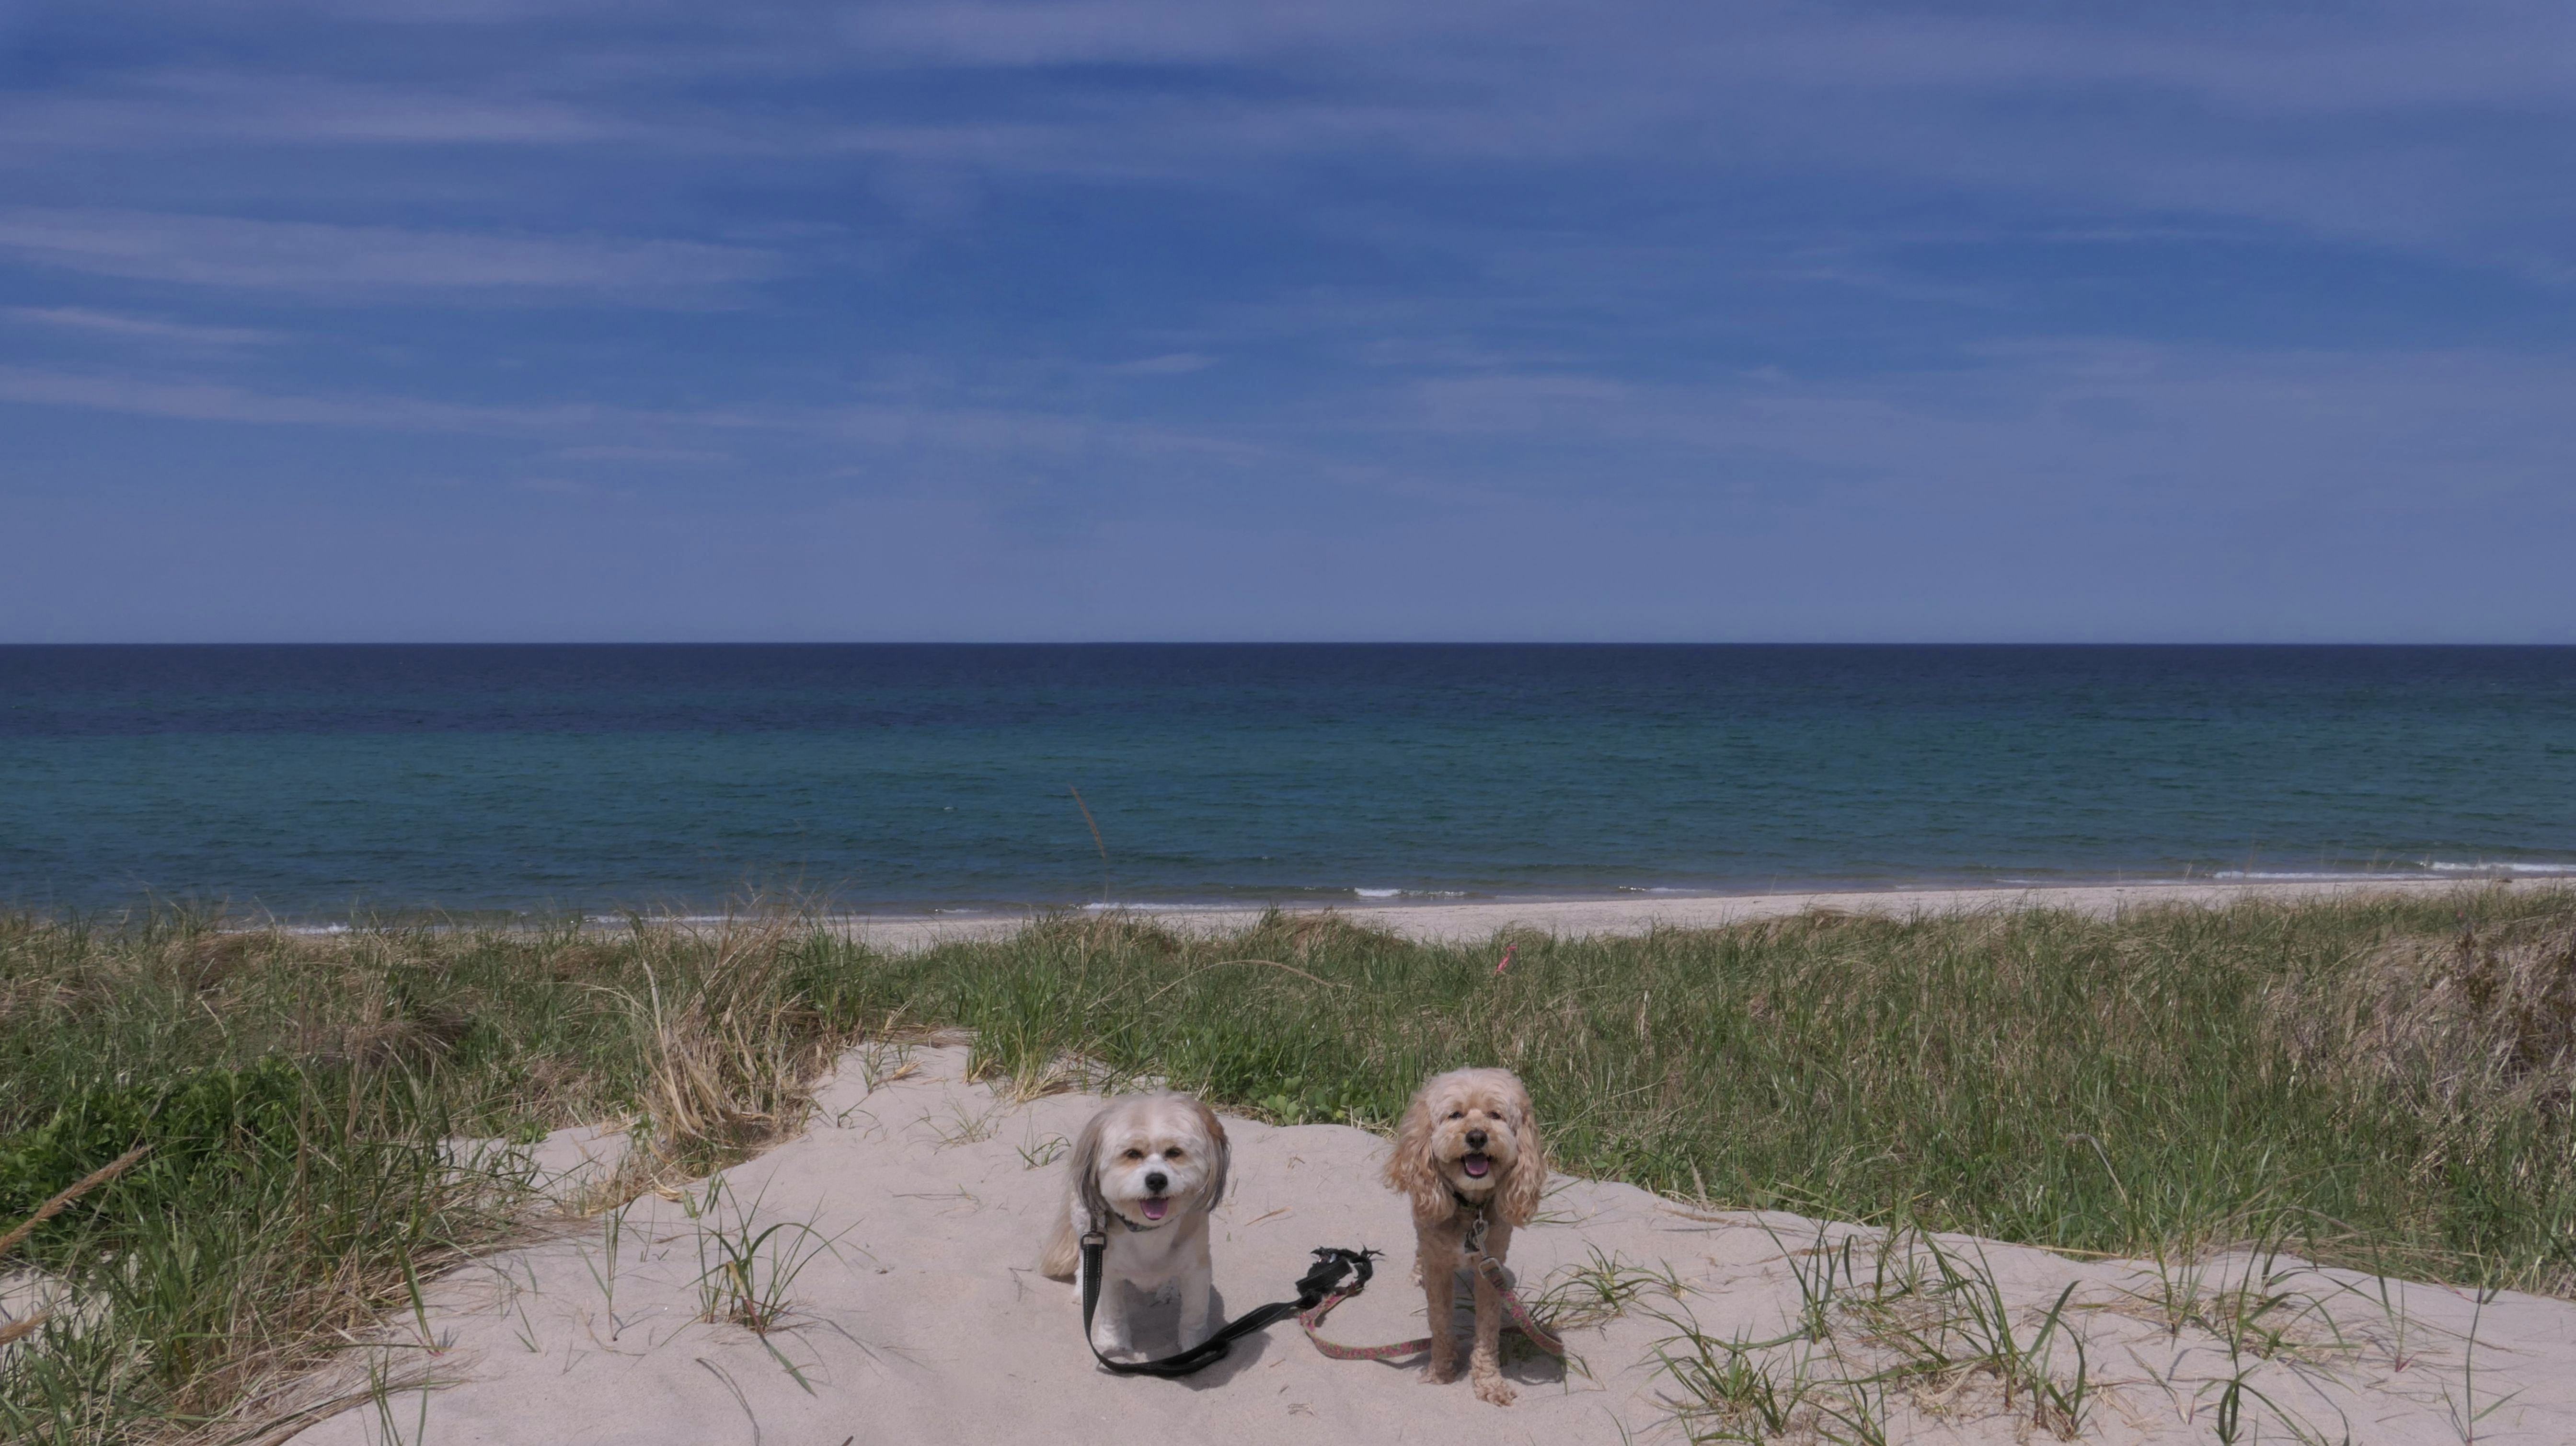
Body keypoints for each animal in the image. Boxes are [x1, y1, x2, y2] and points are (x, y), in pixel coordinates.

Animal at [1040, 1093, 1230, 1361]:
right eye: (1132, 1154)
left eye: (1175, 1152)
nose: (1157, 1179)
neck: (1148, 1231)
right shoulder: (1106, 1268)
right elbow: (1113, 1313)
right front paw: (1115, 1343)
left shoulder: (1197, 1268)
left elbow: (1194, 1314)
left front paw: (1196, 1347)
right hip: (1084, 1223)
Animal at [1384, 1067, 1546, 1405]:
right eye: (1455, 1114)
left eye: (1495, 1115)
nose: (1476, 1136)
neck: (1470, 1208)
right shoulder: (1438, 1266)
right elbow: (1440, 1319)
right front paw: (1441, 1371)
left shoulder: (1489, 1266)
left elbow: (1487, 1329)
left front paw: (1489, 1382)